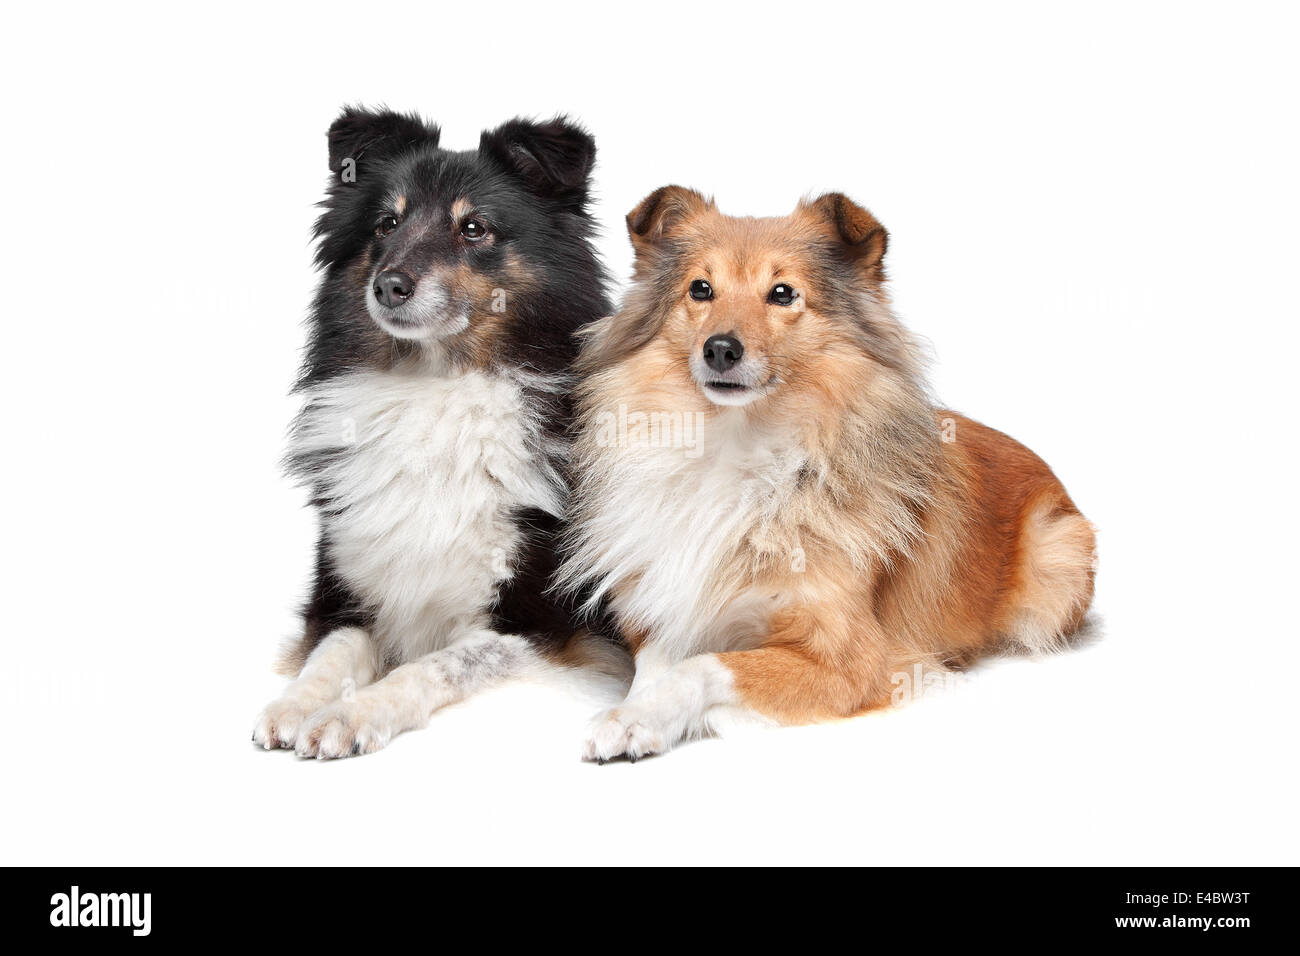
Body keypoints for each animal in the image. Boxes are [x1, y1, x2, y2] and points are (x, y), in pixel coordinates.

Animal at [561, 188, 1097, 764]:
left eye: (782, 293)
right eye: (700, 289)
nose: (720, 349)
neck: (740, 446)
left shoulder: (853, 660)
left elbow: (705, 665)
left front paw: (657, 718)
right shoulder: (666, 604)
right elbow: (658, 663)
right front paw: (631, 713)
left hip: (1058, 558)